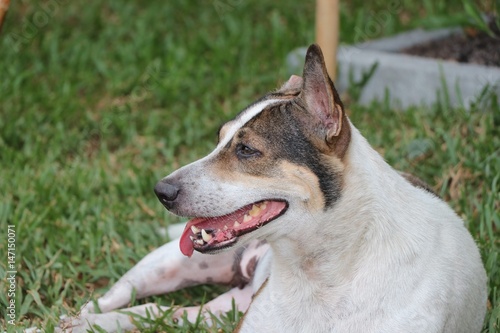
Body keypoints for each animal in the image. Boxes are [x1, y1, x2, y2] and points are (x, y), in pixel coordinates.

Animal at [57, 44, 484, 332]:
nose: (162, 191)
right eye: (219, 138)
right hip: (165, 264)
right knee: (119, 298)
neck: (320, 272)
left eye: (246, 150)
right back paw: (79, 319)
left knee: (163, 313)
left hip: (212, 309)